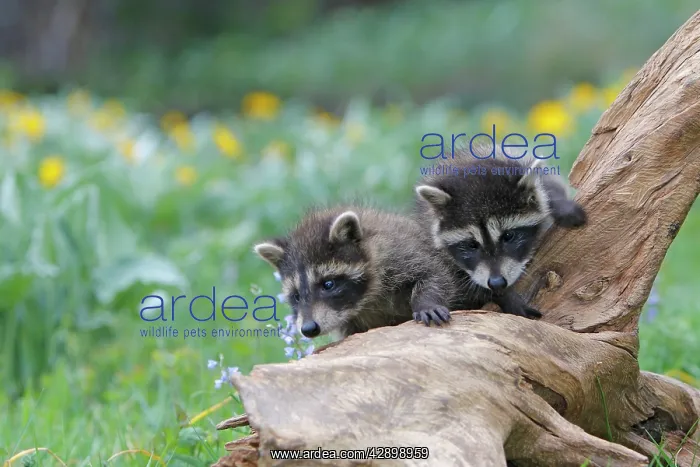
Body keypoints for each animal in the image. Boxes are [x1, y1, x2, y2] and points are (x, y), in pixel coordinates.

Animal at [253, 205, 481, 340]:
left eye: (328, 284)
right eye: (296, 296)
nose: (308, 328)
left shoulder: (401, 252)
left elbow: (435, 274)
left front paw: (427, 302)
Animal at [414, 144, 587, 318]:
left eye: (508, 236)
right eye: (471, 244)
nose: (497, 283)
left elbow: (548, 182)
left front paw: (561, 204)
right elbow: (451, 280)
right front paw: (504, 296)